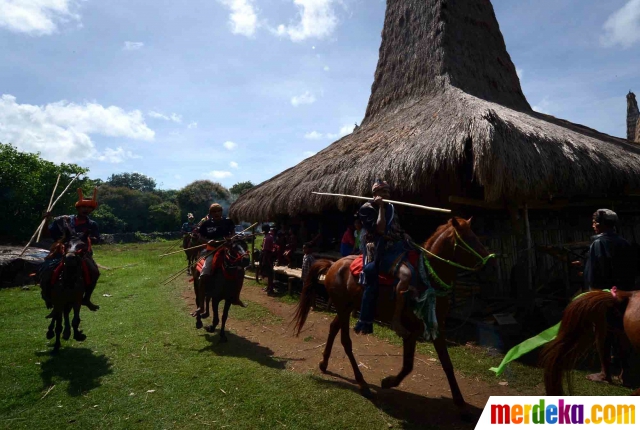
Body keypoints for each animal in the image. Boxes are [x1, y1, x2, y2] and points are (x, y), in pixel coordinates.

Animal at [292, 218, 492, 414]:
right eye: (469, 239)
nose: (490, 263)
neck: (427, 278)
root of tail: (334, 264)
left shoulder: (437, 328)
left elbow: (446, 364)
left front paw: (460, 402)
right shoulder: (411, 330)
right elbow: (408, 365)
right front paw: (388, 382)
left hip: (346, 308)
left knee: (333, 328)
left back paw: (324, 364)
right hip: (343, 309)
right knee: (346, 342)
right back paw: (362, 384)